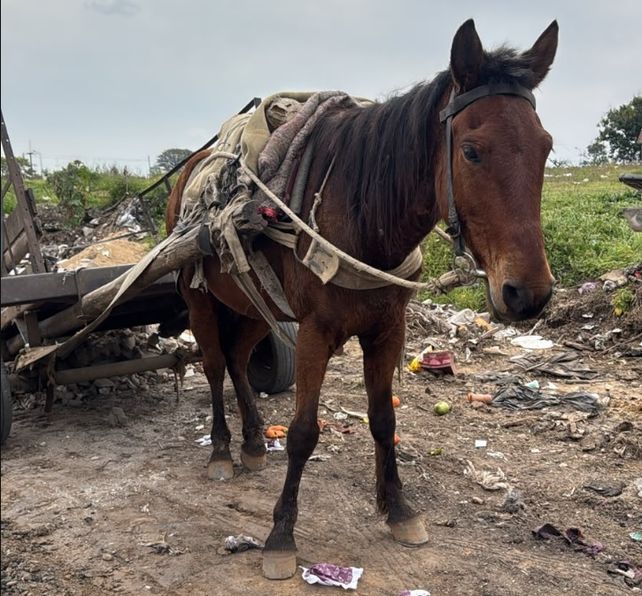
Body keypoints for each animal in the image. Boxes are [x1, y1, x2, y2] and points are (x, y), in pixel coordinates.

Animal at [166, 19, 558, 579]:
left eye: (545, 147)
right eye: (471, 150)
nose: (528, 295)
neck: (363, 215)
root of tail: (192, 171)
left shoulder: (387, 329)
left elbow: (384, 421)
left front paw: (399, 510)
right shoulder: (314, 333)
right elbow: (304, 432)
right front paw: (281, 536)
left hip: (253, 302)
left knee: (240, 360)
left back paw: (253, 440)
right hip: (199, 298)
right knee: (216, 365)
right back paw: (222, 449)